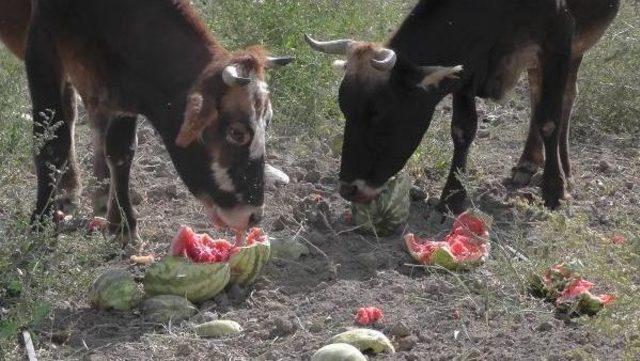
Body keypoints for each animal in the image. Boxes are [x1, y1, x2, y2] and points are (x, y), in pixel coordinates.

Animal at [0, 0, 292, 245]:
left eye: (268, 122)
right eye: (237, 132)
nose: (254, 216)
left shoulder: (123, 81)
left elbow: (120, 151)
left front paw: (122, 225)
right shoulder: (41, 49)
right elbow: (50, 142)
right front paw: (41, 220)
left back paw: (86, 191)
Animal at [310, 0, 620, 212]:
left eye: (381, 114)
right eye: (344, 109)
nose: (349, 189)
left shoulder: (558, 42)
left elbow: (549, 121)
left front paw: (554, 190)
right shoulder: (466, 71)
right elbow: (462, 130)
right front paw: (452, 195)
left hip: (575, 49)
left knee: (565, 98)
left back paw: (563, 169)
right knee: (536, 94)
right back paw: (528, 162)